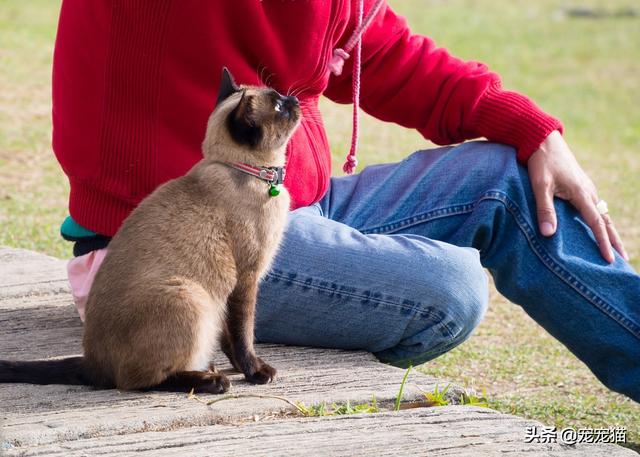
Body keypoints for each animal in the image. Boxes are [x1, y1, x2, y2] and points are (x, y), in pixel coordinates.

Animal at [0, 67, 302, 392]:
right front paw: (255, 372)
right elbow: (243, 335)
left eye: (281, 96)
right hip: (190, 295)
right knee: (136, 381)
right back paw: (212, 380)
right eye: (278, 106)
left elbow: (229, 340)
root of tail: (93, 363)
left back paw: (207, 369)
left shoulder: (227, 293)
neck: (243, 171)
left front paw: (239, 368)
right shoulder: (246, 279)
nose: (294, 99)